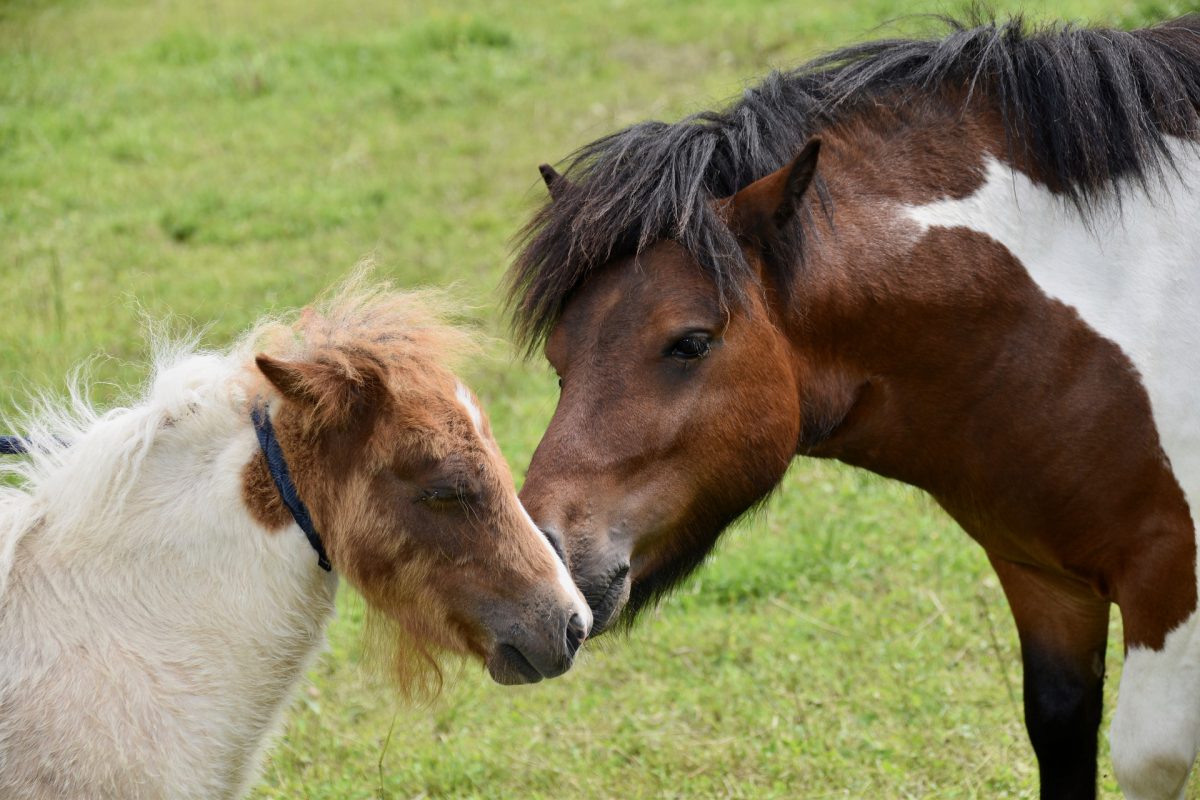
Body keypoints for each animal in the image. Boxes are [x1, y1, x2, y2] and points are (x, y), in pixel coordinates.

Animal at [504, 14, 1200, 800]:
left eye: (690, 342)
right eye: (559, 358)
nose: (538, 562)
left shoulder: (1172, 587)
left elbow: (1148, 757)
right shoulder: (1043, 580)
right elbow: (1060, 729)